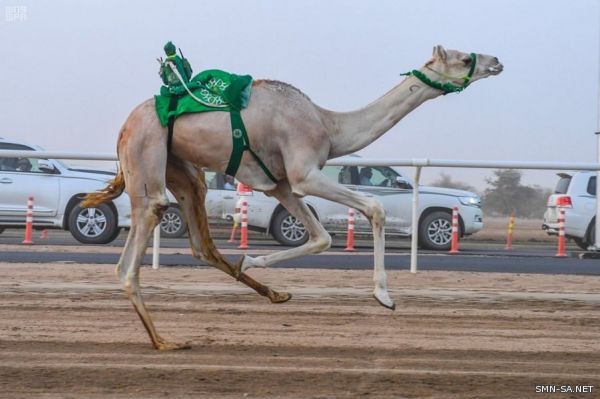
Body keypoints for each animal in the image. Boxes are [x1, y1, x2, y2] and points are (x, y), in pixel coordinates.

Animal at [85, 46, 502, 350]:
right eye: (463, 58)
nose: (496, 61)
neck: (329, 126)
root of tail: (123, 127)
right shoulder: (304, 174)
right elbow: (374, 207)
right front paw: (384, 296)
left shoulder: (280, 185)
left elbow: (322, 237)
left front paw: (252, 260)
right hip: (146, 154)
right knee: (137, 245)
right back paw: (164, 342)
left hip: (182, 168)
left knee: (201, 241)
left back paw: (273, 293)